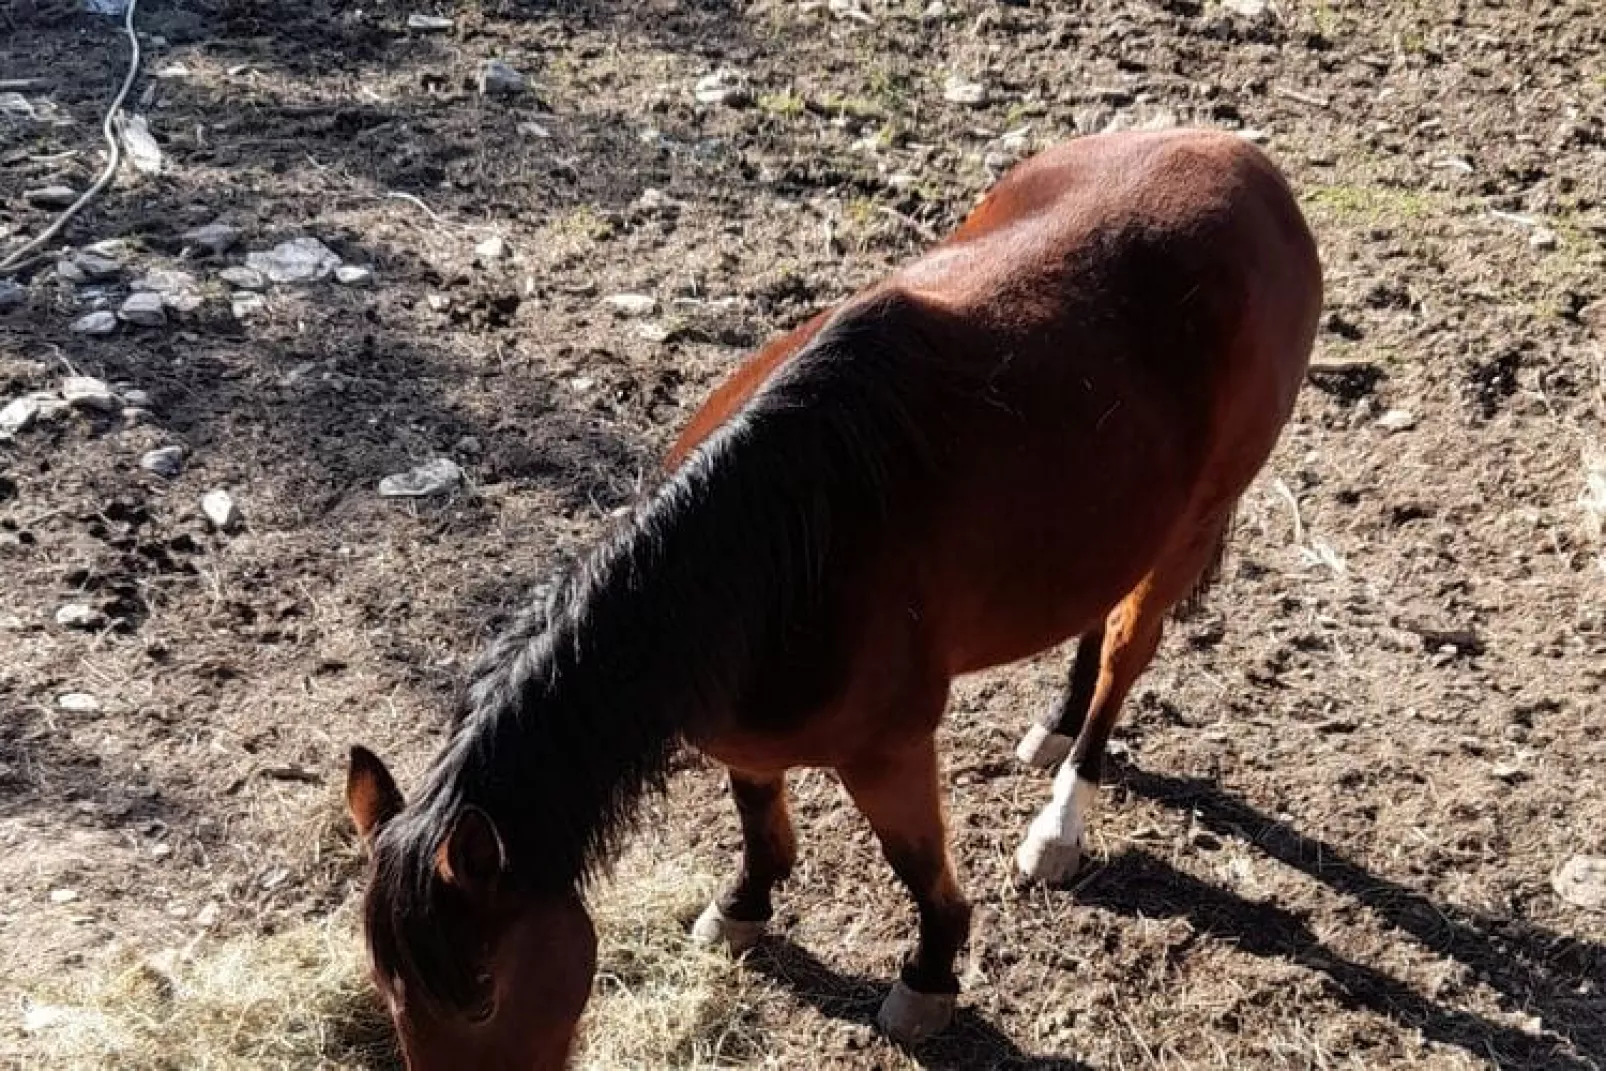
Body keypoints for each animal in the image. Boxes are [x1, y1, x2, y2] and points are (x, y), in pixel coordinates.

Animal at [338, 130, 1316, 1066]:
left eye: (480, 997)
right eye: (387, 993)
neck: (774, 545)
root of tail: (1248, 166)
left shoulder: (887, 749)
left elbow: (918, 869)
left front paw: (928, 977)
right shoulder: (740, 731)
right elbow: (761, 830)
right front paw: (743, 908)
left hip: (1194, 522)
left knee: (1123, 653)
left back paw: (1061, 818)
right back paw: (1057, 722)